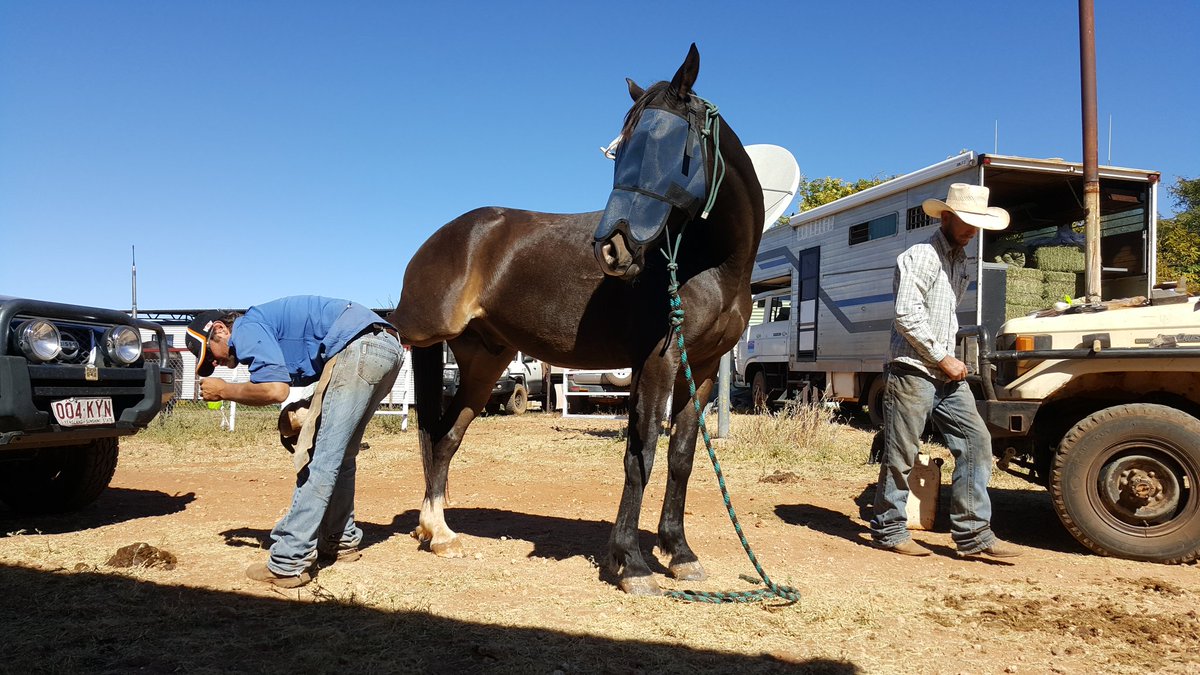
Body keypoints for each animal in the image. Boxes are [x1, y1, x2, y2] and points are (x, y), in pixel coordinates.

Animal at [390, 44, 764, 595]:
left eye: (668, 146)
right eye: (621, 150)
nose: (612, 248)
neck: (711, 264)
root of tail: (445, 237)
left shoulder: (701, 368)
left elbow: (681, 457)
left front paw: (680, 553)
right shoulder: (658, 362)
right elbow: (641, 453)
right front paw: (632, 565)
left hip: (484, 361)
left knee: (446, 436)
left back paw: (439, 533)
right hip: (432, 345)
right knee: (438, 435)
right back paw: (435, 530)